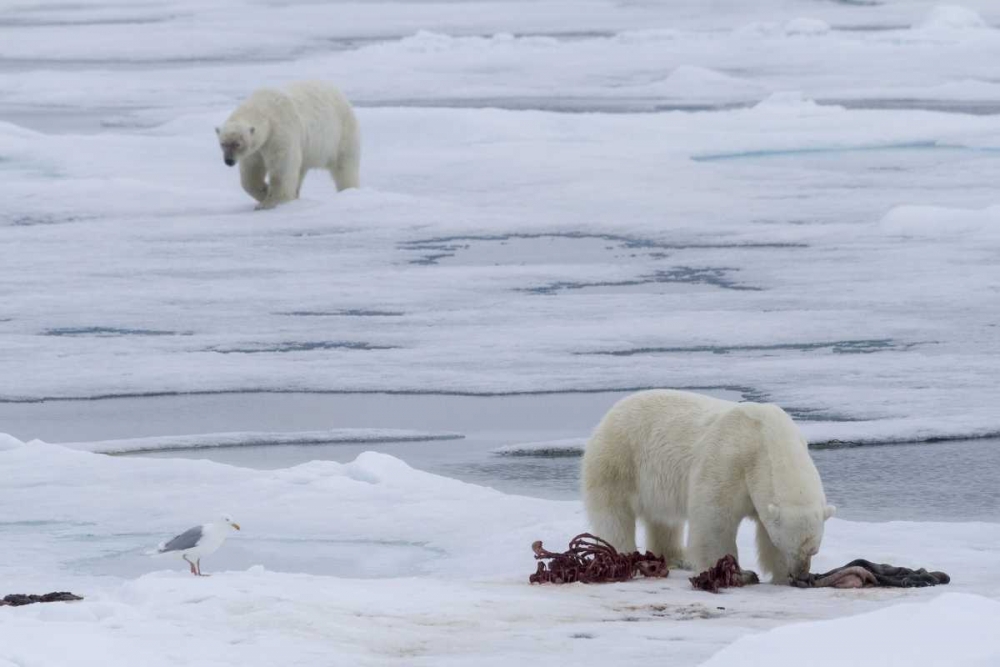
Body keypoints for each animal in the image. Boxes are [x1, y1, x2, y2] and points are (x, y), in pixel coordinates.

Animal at [216, 81, 360, 210]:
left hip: (341, 135)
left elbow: (282, 168)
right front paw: (264, 192)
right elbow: (252, 170)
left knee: (344, 166)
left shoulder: (280, 133)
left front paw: (269, 202)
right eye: (223, 144)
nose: (228, 161)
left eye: (237, 144)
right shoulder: (256, 150)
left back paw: (349, 191)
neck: (264, 110)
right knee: (300, 170)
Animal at [581, 389, 835, 583]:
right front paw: (739, 573)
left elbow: (764, 529)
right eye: (790, 547)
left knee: (664, 521)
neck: (767, 438)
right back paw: (622, 556)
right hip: (618, 459)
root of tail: (612, 411)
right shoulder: (729, 462)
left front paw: (782, 575)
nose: (801, 574)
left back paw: (678, 558)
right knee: (614, 514)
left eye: (814, 550)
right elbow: (715, 518)